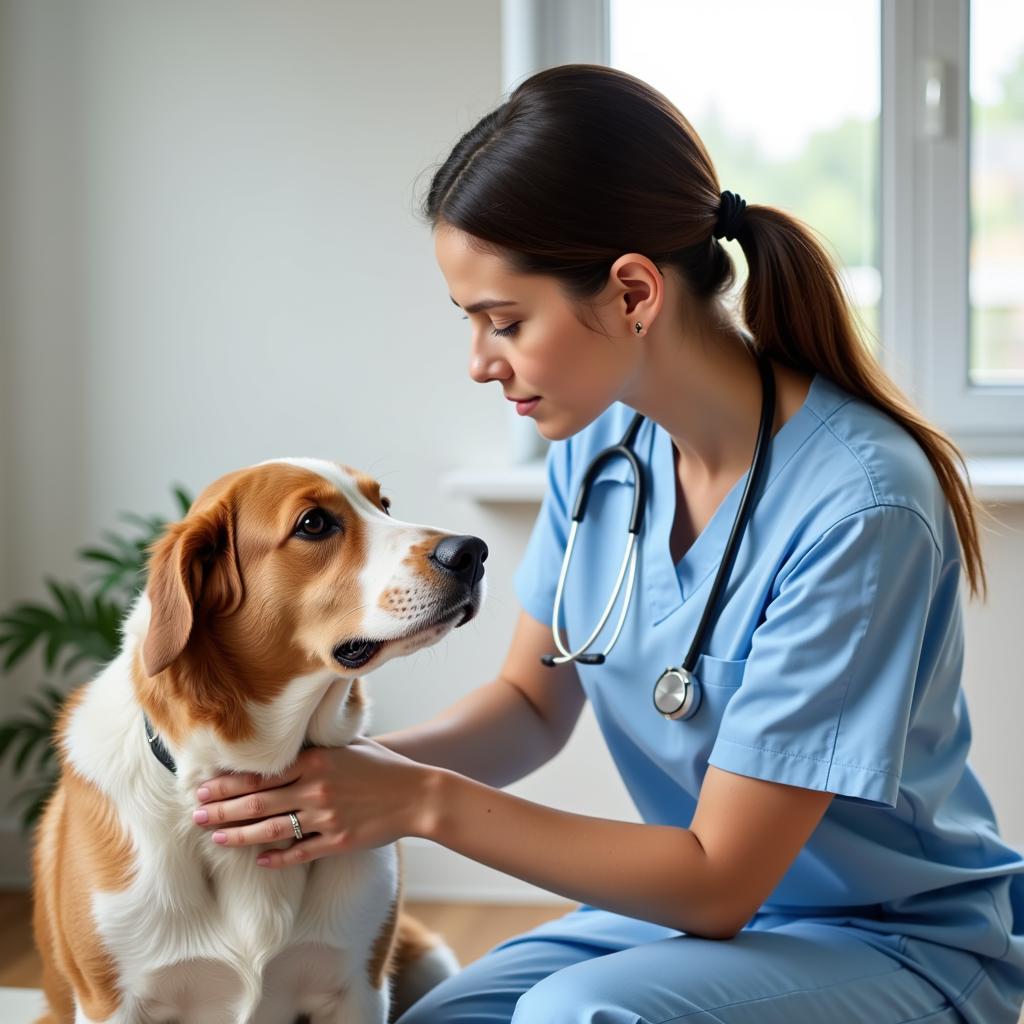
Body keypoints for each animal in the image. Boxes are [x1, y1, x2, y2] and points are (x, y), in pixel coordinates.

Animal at [32, 458, 487, 1024]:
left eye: (383, 504)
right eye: (314, 524)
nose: (472, 552)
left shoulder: (359, 989)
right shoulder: (111, 1005)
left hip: (429, 957)